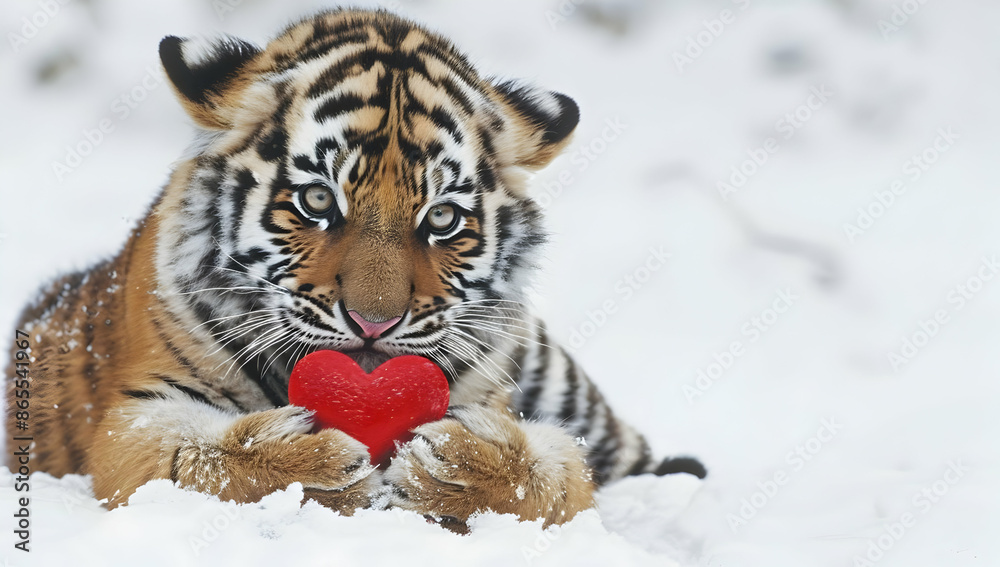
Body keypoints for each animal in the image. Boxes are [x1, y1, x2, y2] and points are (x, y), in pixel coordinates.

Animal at [5, 8, 705, 529]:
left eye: (441, 218)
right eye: (318, 201)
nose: (374, 324)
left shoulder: (547, 436)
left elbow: (558, 478)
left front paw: (453, 465)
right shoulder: (137, 414)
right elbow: (197, 460)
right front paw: (317, 467)